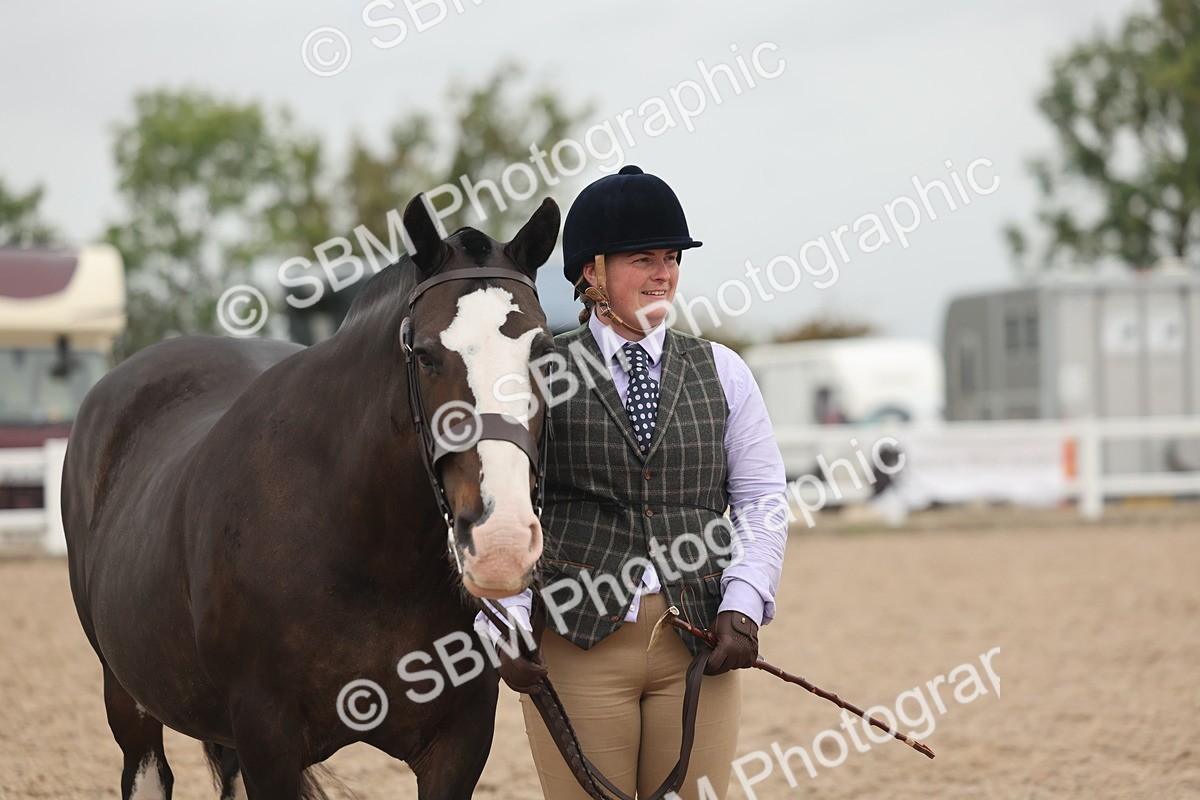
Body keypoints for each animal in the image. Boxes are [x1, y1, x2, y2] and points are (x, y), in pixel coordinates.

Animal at [62, 194, 560, 799]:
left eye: (545, 352)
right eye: (424, 355)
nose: (501, 543)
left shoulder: (460, 741)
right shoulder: (266, 736)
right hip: (127, 696)